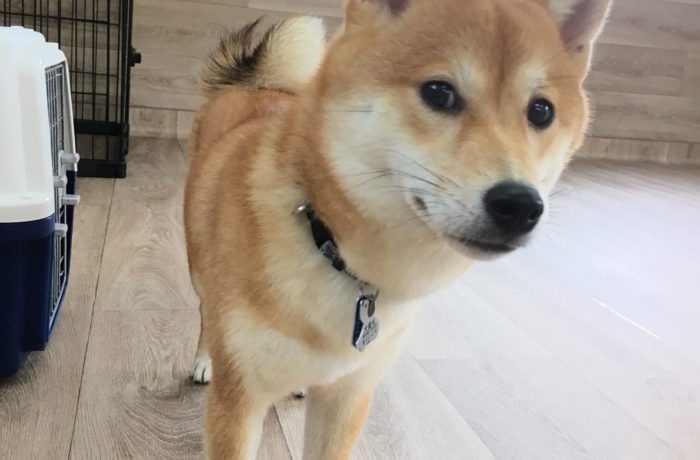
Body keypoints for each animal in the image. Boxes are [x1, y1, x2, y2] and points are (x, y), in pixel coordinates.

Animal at [184, 0, 611, 458]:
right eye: (439, 92)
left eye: (541, 111)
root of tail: (256, 86)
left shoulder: (348, 394)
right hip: (199, 271)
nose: (520, 204)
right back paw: (206, 358)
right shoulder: (240, 403)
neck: (329, 244)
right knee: (204, 310)